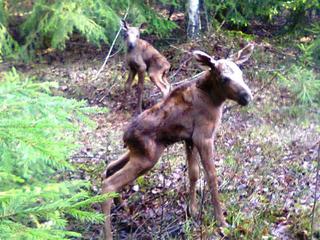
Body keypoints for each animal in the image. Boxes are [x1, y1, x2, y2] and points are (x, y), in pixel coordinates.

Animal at [102, 43, 255, 238]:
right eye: (224, 78)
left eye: (241, 73)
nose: (247, 97)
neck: (214, 99)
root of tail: (125, 137)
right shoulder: (203, 137)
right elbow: (211, 176)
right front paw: (221, 222)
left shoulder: (189, 140)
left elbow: (193, 173)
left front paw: (193, 210)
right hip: (147, 159)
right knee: (108, 184)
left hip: (137, 153)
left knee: (109, 168)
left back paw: (123, 207)